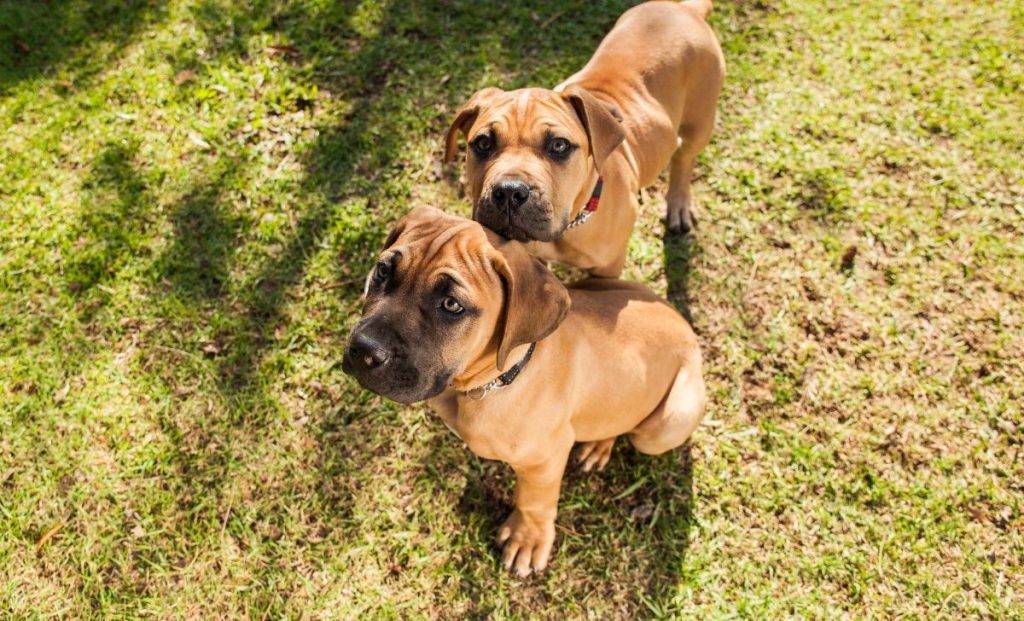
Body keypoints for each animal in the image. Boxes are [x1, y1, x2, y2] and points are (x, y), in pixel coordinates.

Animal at [344, 208, 704, 577]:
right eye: (383, 271)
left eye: (451, 304)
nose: (363, 350)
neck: (492, 382)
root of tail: (686, 328)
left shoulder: (546, 459)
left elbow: (533, 501)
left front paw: (527, 539)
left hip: (667, 425)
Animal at [444, 0, 724, 276]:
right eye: (483, 143)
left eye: (559, 145)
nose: (510, 191)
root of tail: (686, 9)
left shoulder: (608, 269)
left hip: (700, 122)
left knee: (684, 158)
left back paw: (679, 204)